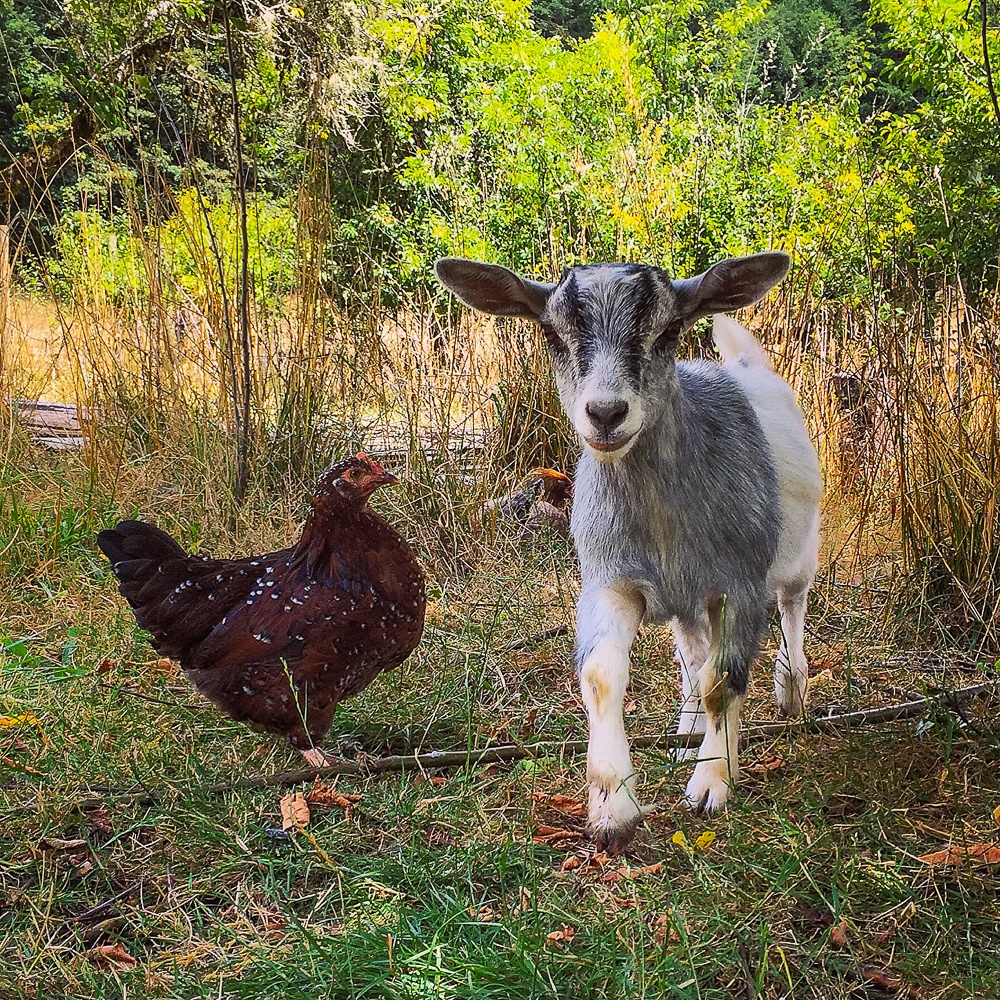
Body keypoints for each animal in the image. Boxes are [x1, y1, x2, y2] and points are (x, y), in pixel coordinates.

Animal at [436, 254, 820, 848]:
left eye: (669, 331)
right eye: (552, 333)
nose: (606, 413)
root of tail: (745, 366)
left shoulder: (738, 583)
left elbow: (725, 680)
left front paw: (712, 782)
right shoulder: (610, 579)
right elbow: (602, 676)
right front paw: (613, 807)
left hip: (796, 554)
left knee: (792, 608)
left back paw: (791, 692)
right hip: (685, 598)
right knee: (692, 652)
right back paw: (688, 728)